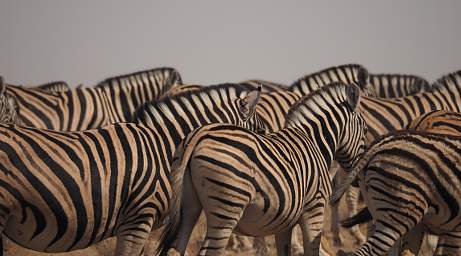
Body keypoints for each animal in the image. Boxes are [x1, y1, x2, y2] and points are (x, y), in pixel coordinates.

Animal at [158, 82, 366, 256]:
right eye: (364, 130)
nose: (359, 178)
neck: (314, 142)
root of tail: (200, 134)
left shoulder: (286, 222)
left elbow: (284, 251)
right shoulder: (315, 207)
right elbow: (311, 251)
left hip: (188, 207)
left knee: (176, 248)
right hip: (227, 209)